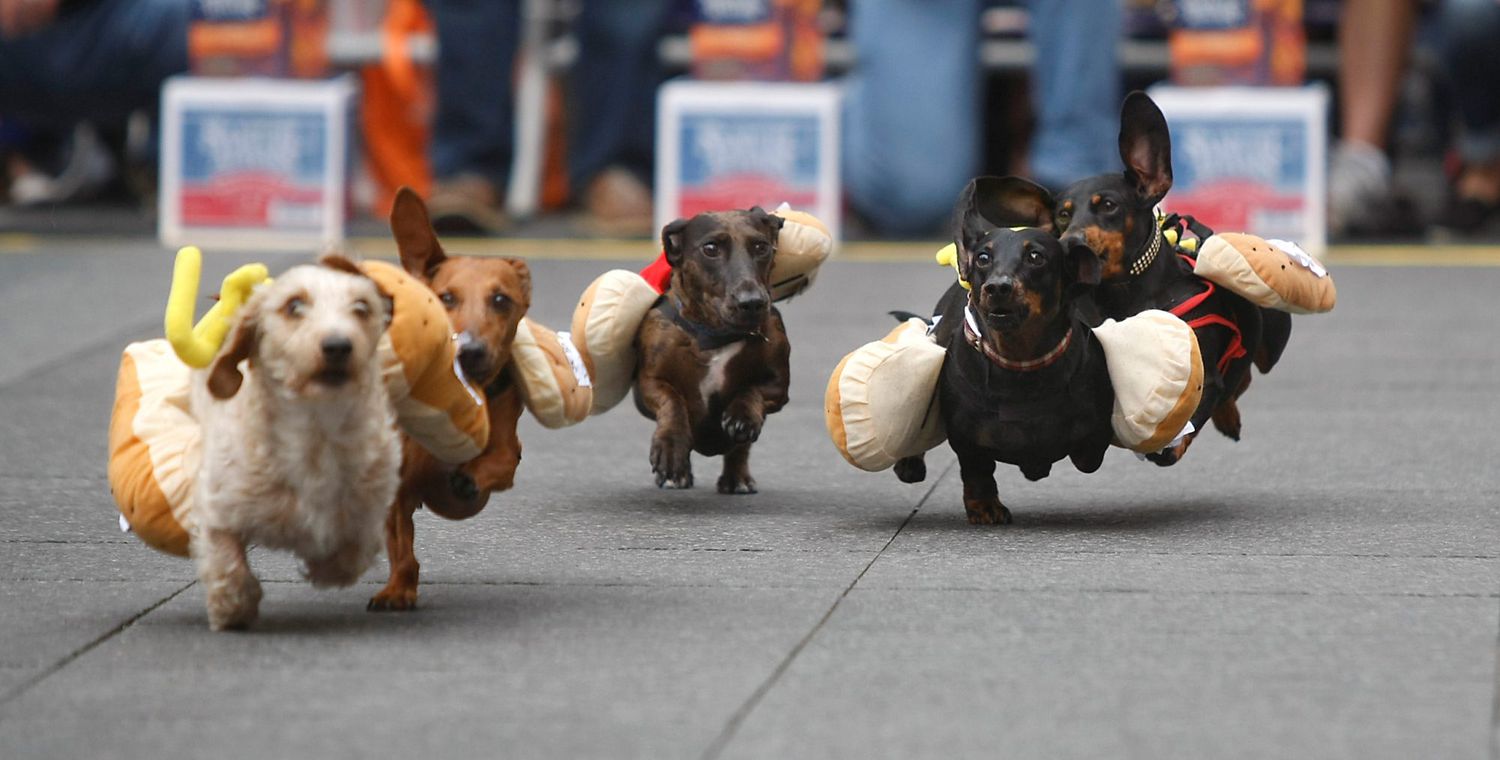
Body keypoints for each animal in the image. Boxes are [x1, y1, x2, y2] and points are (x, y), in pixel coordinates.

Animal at [195, 256, 405, 629]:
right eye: (294, 305)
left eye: (361, 307)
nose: (337, 346)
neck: (316, 434)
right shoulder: (221, 505)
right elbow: (227, 561)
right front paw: (232, 607)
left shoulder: (368, 512)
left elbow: (349, 553)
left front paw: (322, 565)